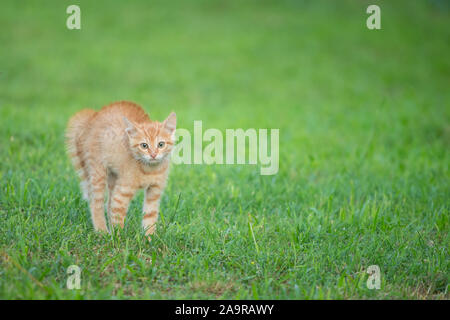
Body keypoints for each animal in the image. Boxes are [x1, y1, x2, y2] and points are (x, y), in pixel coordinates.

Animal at [66, 100, 177, 240]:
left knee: (108, 203)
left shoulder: (155, 191)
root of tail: (93, 116)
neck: (149, 170)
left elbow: (150, 215)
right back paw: (101, 231)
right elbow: (118, 214)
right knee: (96, 203)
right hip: (98, 172)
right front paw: (118, 238)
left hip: (113, 177)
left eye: (161, 144)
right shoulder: (122, 192)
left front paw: (149, 238)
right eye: (144, 146)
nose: (153, 155)